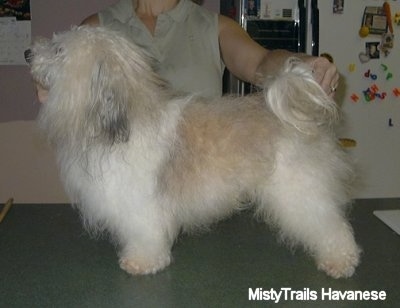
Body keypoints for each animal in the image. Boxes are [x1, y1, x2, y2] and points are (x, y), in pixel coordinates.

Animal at [26, 25, 360, 276]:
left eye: (58, 50)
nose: (28, 53)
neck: (123, 121)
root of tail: (300, 114)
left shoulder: (141, 204)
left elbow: (145, 234)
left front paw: (142, 262)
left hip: (299, 190)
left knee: (329, 224)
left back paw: (342, 260)